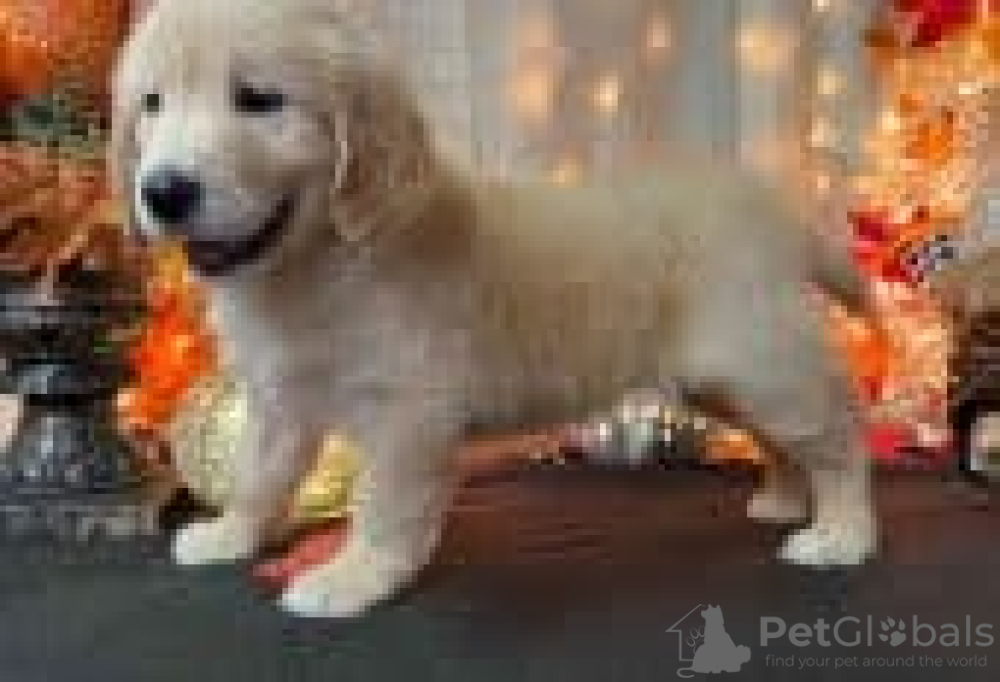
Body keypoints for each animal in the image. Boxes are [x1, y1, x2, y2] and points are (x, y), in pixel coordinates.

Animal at [112, 0, 879, 618]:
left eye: (259, 99)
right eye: (152, 103)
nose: (164, 191)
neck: (315, 264)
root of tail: (773, 209)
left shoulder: (407, 410)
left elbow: (381, 504)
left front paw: (352, 577)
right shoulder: (280, 400)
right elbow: (259, 475)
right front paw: (231, 535)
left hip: (759, 358)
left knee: (838, 433)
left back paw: (842, 535)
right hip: (724, 379)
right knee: (780, 437)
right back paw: (785, 498)